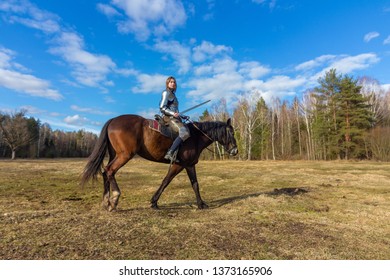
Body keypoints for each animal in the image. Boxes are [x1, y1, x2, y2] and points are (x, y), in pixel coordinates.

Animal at [80, 114, 238, 210]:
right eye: (231, 132)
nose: (235, 150)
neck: (195, 136)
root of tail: (113, 119)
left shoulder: (190, 165)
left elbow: (195, 184)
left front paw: (201, 204)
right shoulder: (178, 165)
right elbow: (166, 181)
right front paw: (154, 201)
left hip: (116, 154)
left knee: (105, 172)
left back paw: (106, 201)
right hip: (124, 155)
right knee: (110, 171)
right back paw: (114, 199)